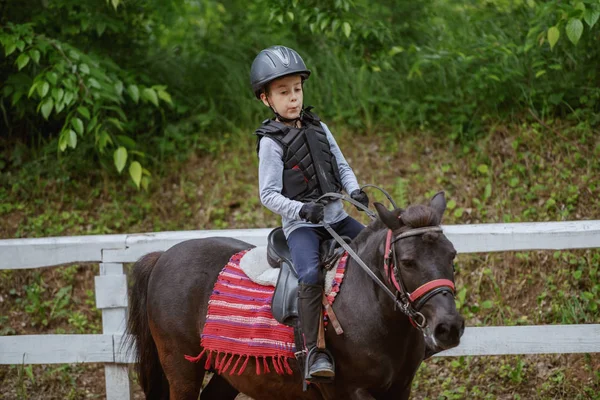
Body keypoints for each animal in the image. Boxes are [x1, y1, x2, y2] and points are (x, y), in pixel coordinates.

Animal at [125, 192, 464, 398]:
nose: (448, 328)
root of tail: (162, 256)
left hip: (228, 371)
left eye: (452, 255)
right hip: (182, 370)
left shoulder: (400, 389)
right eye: (407, 261)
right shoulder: (348, 391)